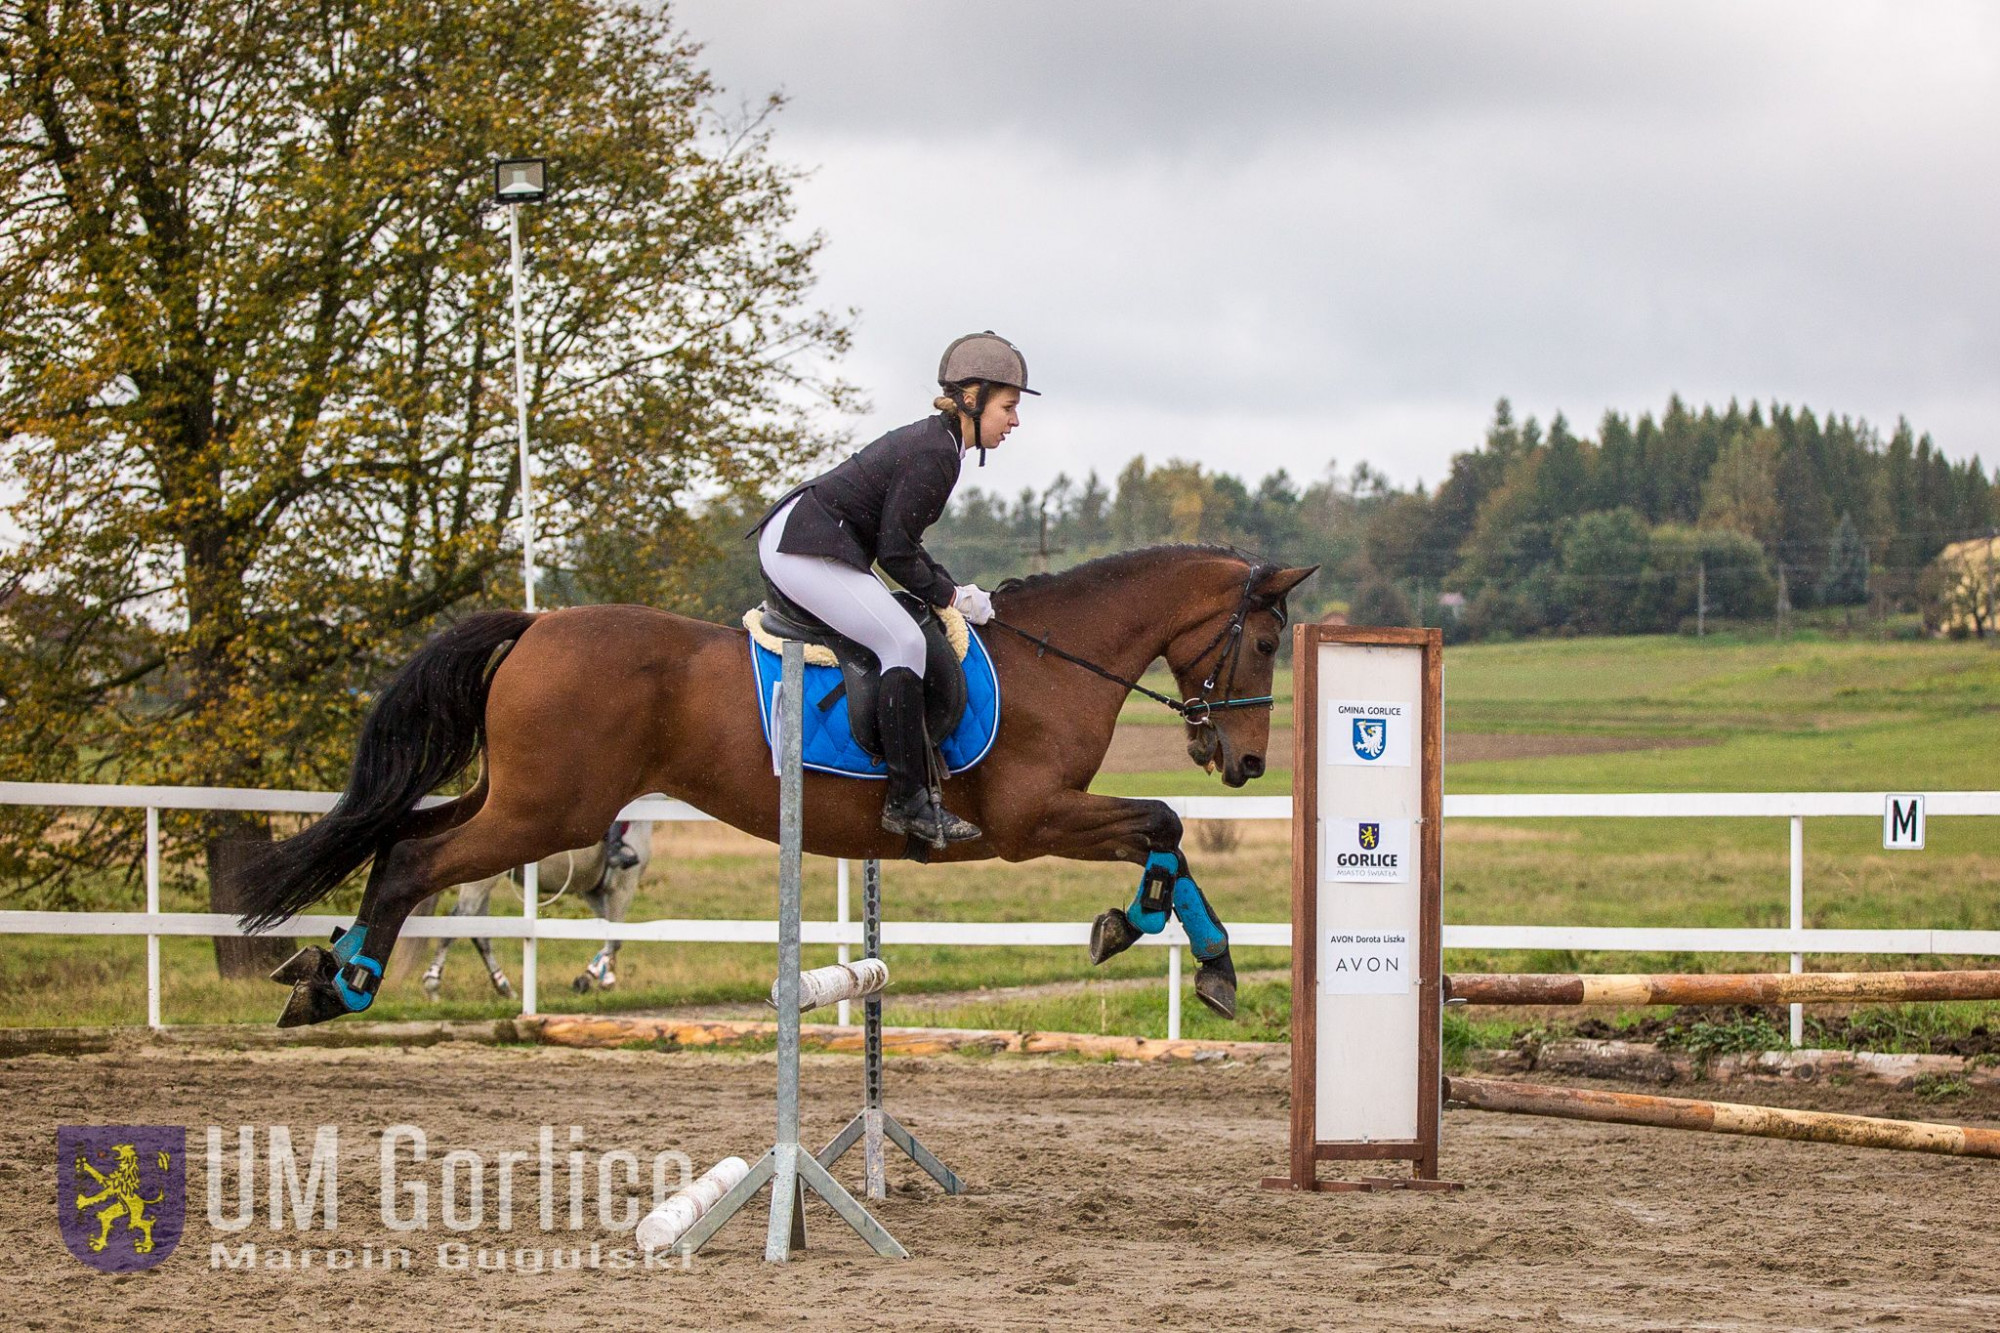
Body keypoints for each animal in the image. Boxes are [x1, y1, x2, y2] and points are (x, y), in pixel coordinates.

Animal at [238, 544, 1312, 1020]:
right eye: (1265, 644)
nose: (1247, 764)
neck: (1061, 657)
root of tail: (538, 624)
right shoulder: (1029, 819)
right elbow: (1165, 821)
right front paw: (1152, 933)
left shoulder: (1052, 818)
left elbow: (1166, 835)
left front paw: (1195, 954)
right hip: (547, 810)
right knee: (416, 859)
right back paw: (341, 987)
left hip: (523, 800)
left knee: (400, 840)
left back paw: (325, 970)